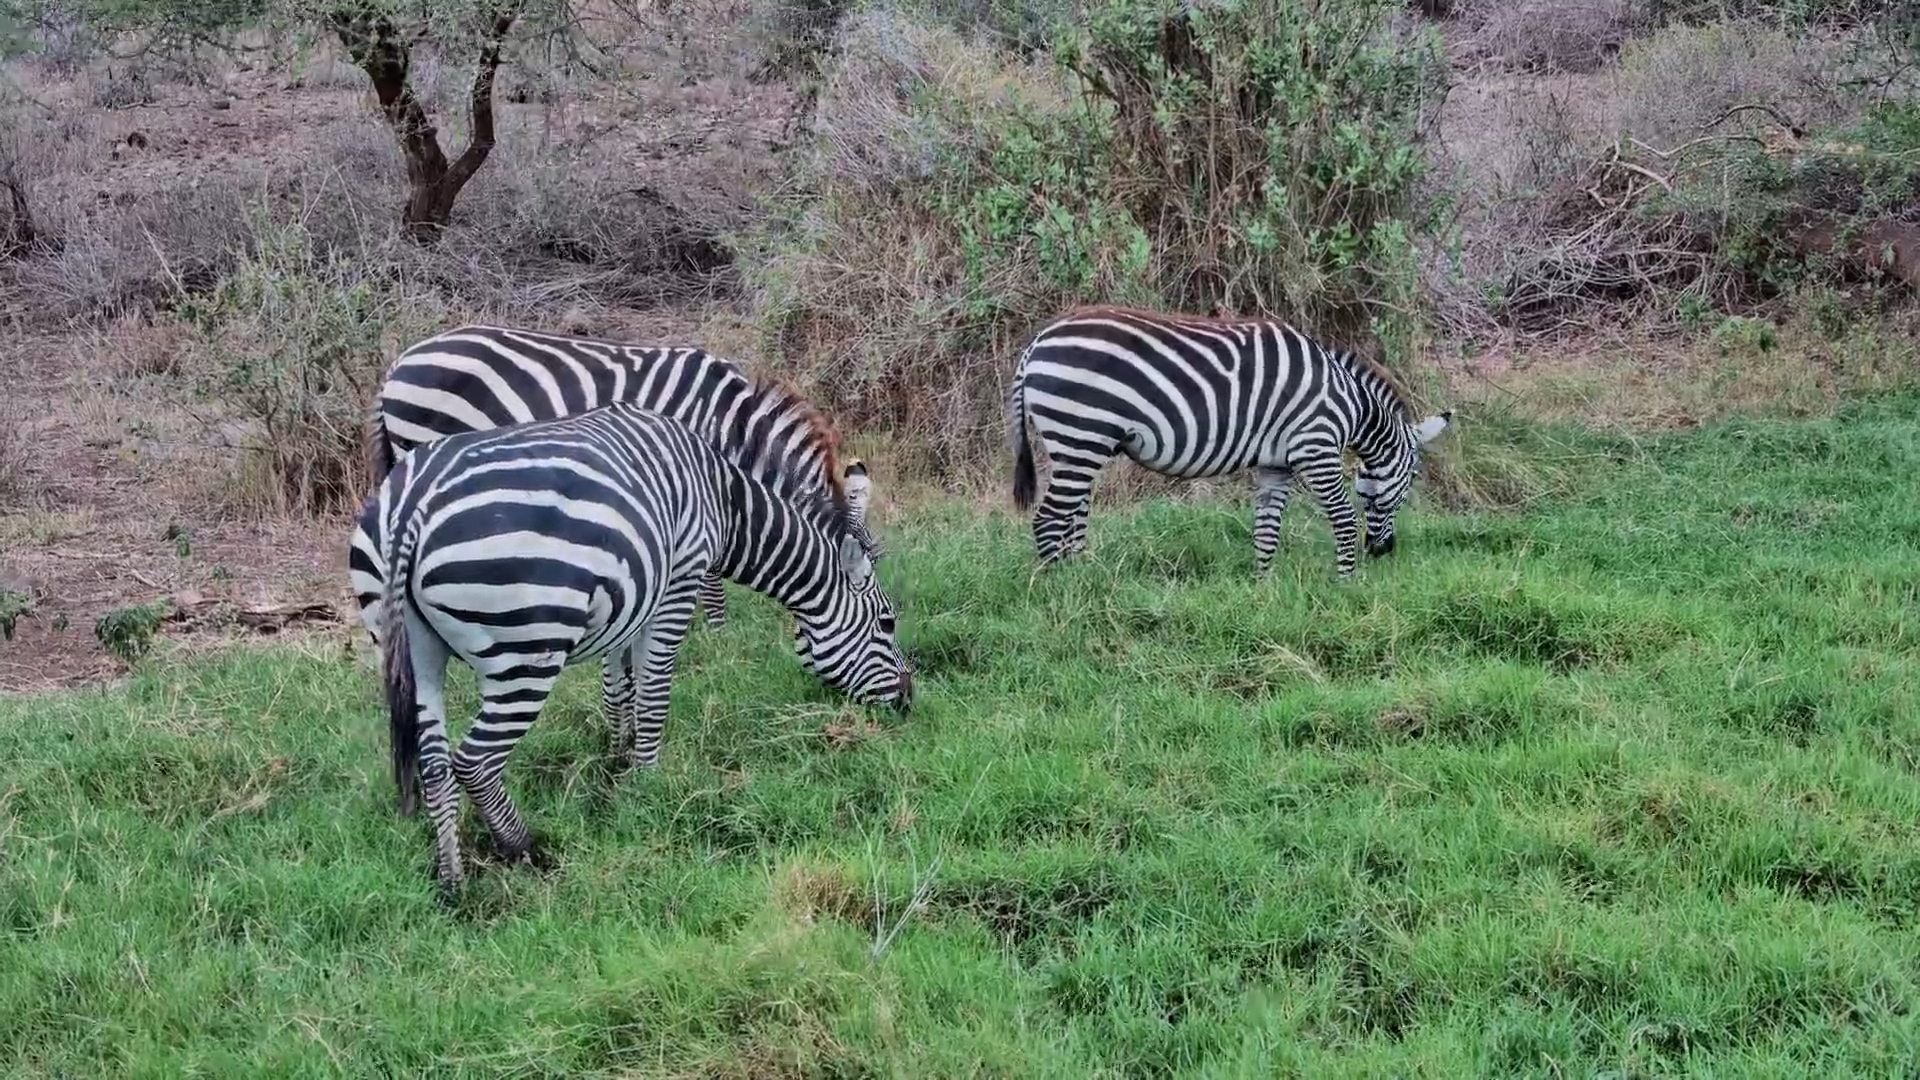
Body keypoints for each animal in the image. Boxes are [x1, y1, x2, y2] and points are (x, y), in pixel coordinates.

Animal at [376, 399, 912, 889]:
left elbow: (622, 682)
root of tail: (411, 508)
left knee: (434, 763)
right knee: (473, 760)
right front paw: (647, 782)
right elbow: (654, 690)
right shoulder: (679, 578)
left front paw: (619, 752)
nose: (909, 702)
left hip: (419, 651)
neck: (724, 501)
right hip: (526, 653)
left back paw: (453, 880)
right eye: (887, 623)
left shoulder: (633, 594)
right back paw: (523, 847)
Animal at [1005, 306, 1451, 577]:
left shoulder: (1276, 463)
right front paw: (1346, 584)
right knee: (1050, 520)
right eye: (1412, 479)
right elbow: (1343, 518)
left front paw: (1262, 588)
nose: (1383, 551)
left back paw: (1086, 580)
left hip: (1080, 445)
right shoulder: (1316, 449)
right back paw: (1061, 589)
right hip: (1080, 434)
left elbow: (1267, 527)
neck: (1350, 405)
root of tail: (1036, 342)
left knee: (1072, 517)